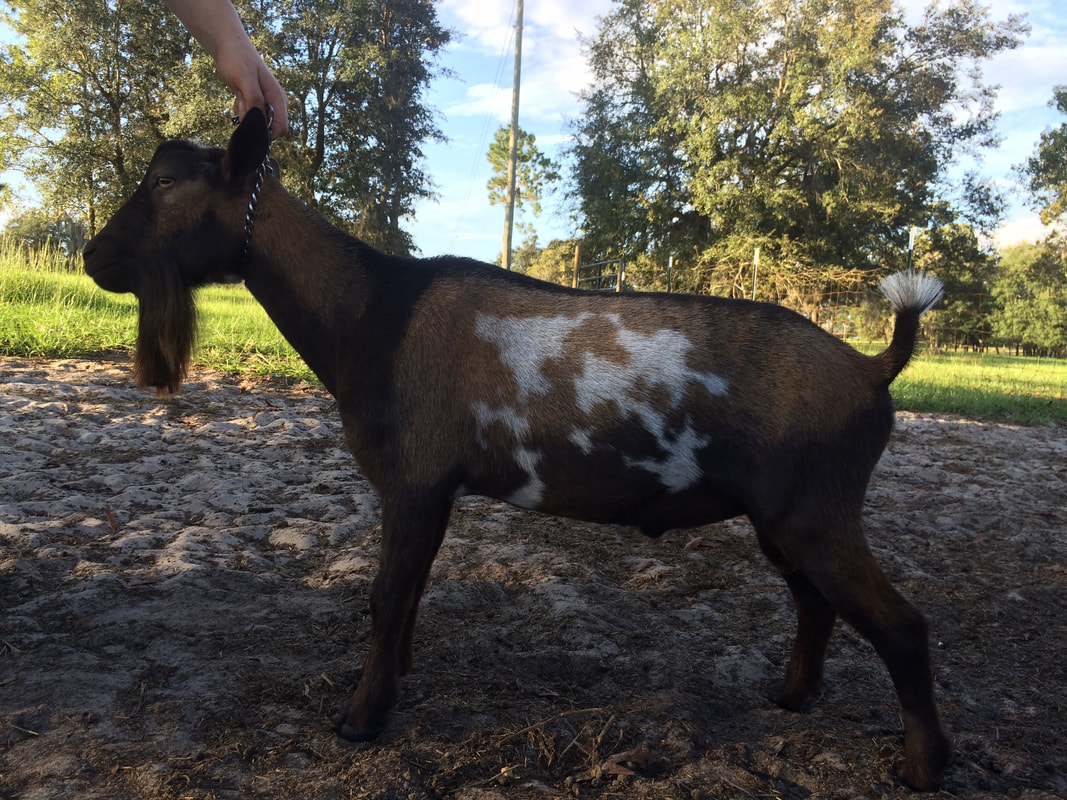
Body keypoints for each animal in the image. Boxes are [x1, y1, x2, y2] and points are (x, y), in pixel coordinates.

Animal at [83, 108, 951, 797]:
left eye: (164, 182)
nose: (93, 257)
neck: (373, 314)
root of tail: (870, 366)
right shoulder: (434, 490)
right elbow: (412, 593)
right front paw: (396, 681)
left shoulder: (411, 481)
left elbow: (385, 595)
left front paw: (359, 720)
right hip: (785, 518)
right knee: (814, 602)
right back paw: (791, 699)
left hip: (817, 510)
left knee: (902, 624)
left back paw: (919, 769)